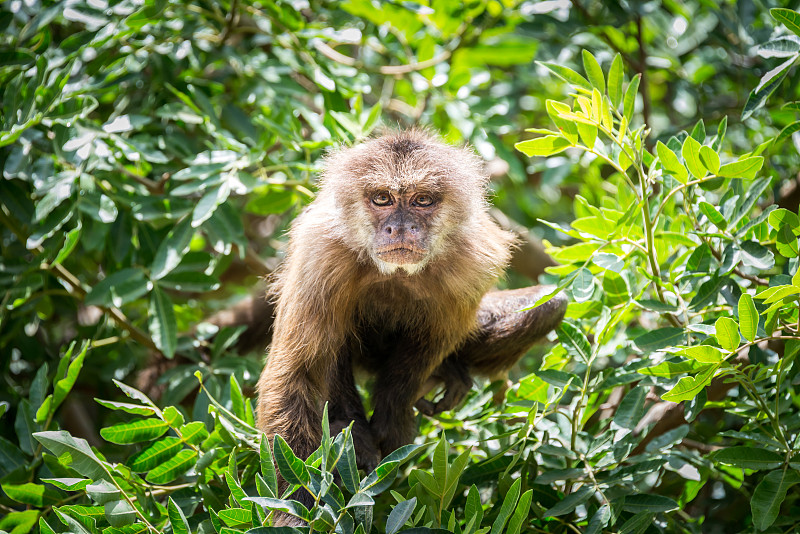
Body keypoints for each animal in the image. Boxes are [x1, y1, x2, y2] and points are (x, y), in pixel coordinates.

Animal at [255, 130, 564, 524]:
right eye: (382, 198)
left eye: (422, 200)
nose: (400, 228)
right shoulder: (322, 252)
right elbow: (297, 374)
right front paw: (297, 512)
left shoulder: (471, 264)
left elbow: (427, 349)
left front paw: (392, 422)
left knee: (552, 305)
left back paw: (450, 372)